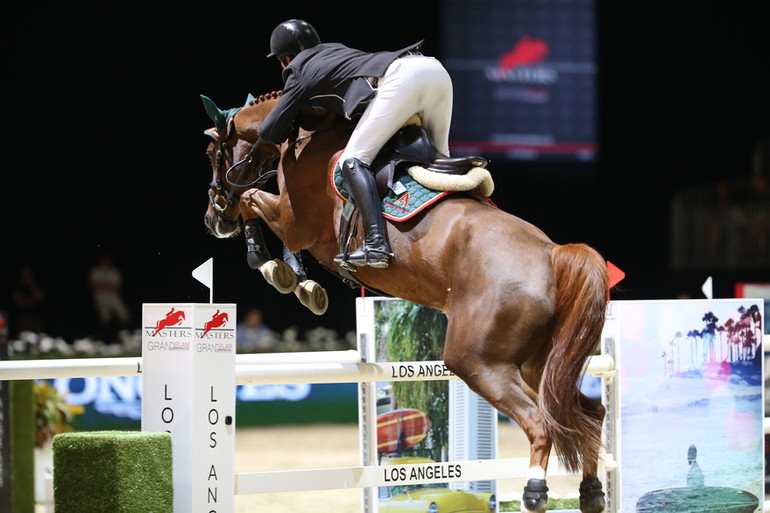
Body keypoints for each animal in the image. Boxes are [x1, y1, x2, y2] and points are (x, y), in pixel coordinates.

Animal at [201, 90, 608, 510]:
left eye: (212, 152)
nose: (214, 218)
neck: (304, 136)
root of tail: (553, 253)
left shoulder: (296, 222)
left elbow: (252, 201)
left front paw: (271, 267)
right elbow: (260, 211)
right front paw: (299, 282)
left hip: (478, 362)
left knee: (540, 421)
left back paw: (535, 491)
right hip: (536, 364)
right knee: (588, 412)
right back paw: (592, 491)